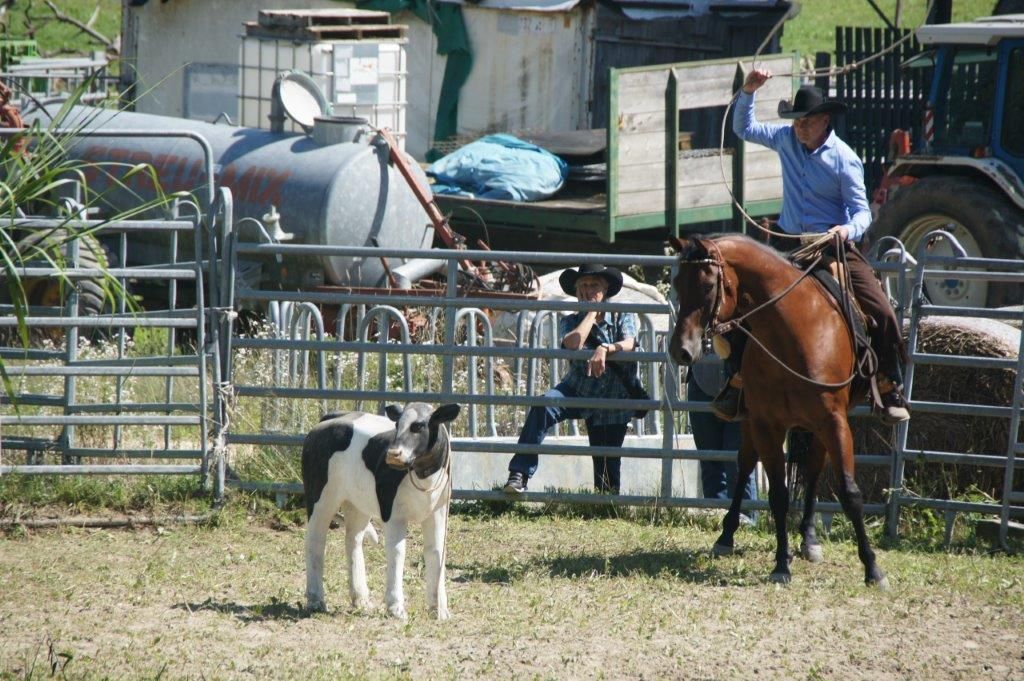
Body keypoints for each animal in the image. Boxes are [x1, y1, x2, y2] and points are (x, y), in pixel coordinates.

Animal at [668, 233, 887, 588]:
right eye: (676, 282)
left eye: (708, 285)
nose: (681, 351)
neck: (795, 334)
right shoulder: (766, 424)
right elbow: (779, 496)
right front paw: (782, 564)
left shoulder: (835, 421)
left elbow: (850, 493)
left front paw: (873, 569)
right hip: (751, 422)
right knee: (745, 464)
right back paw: (726, 536)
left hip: (819, 427)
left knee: (814, 469)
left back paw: (809, 539)